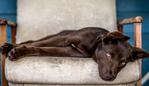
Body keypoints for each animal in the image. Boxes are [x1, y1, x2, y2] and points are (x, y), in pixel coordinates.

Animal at [2, 26, 149, 80]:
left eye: (123, 62)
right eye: (108, 55)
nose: (110, 78)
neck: (93, 44)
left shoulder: (70, 50)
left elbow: (42, 49)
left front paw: (18, 51)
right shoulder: (63, 39)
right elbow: (36, 45)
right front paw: (17, 51)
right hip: (56, 35)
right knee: (33, 41)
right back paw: (9, 46)